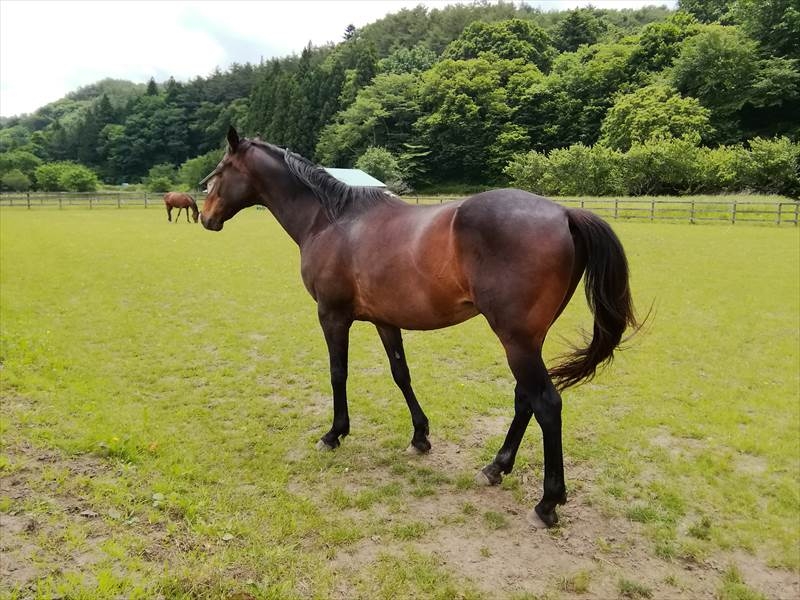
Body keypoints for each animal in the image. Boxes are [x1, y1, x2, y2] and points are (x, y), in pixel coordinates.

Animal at [202, 125, 644, 524]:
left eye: (220, 170)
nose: (205, 217)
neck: (330, 220)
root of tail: (564, 212)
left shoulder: (332, 316)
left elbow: (337, 373)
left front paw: (334, 433)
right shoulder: (385, 321)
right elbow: (401, 374)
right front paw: (420, 437)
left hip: (516, 340)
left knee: (546, 404)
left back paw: (547, 503)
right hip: (526, 340)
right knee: (525, 399)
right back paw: (496, 467)